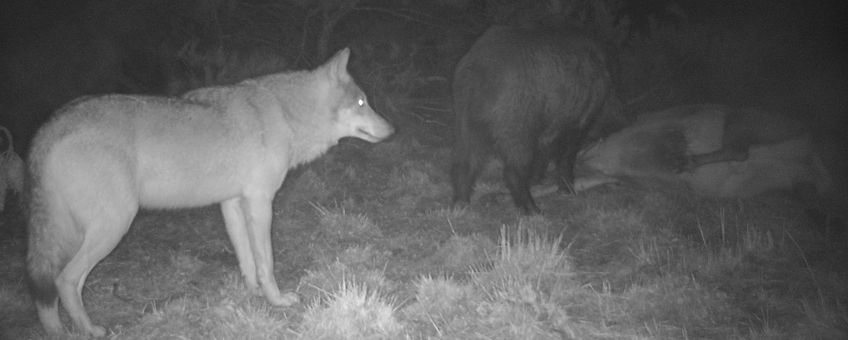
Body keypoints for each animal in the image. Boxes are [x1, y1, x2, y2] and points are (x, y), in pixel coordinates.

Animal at [25, 48, 394, 338]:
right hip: (112, 227)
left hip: (78, 233)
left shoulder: (232, 204)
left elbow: (247, 260)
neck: (286, 113)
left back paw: (58, 331)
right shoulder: (260, 202)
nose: (392, 130)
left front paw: (251, 295)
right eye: (362, 102)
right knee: (65, 281)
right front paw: (276, 300)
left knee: (52, 290)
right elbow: (267, 262)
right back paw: (89, 329)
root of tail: (49, 127)